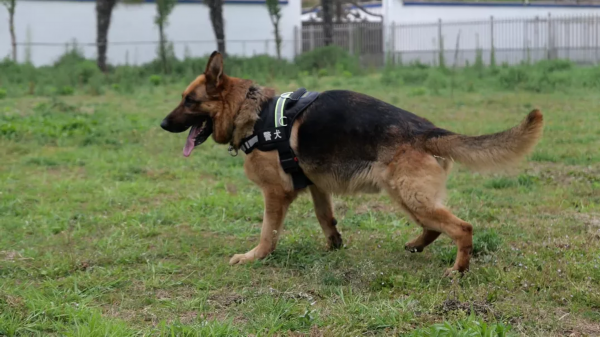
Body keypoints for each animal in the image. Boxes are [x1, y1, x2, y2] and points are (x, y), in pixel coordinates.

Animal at [159, 51, 544, 272]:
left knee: (462, 227)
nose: (162, 124)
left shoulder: (275, 194)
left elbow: (269, 232)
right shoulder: (315, 185)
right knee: (436, 226)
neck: (251, 111)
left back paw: (459, 268)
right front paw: (334, 246)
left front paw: (255, 257)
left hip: (408, 195)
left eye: (189, 101)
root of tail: (427, 130)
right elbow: (325, 217)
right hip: (408, 196)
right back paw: (417, 246)